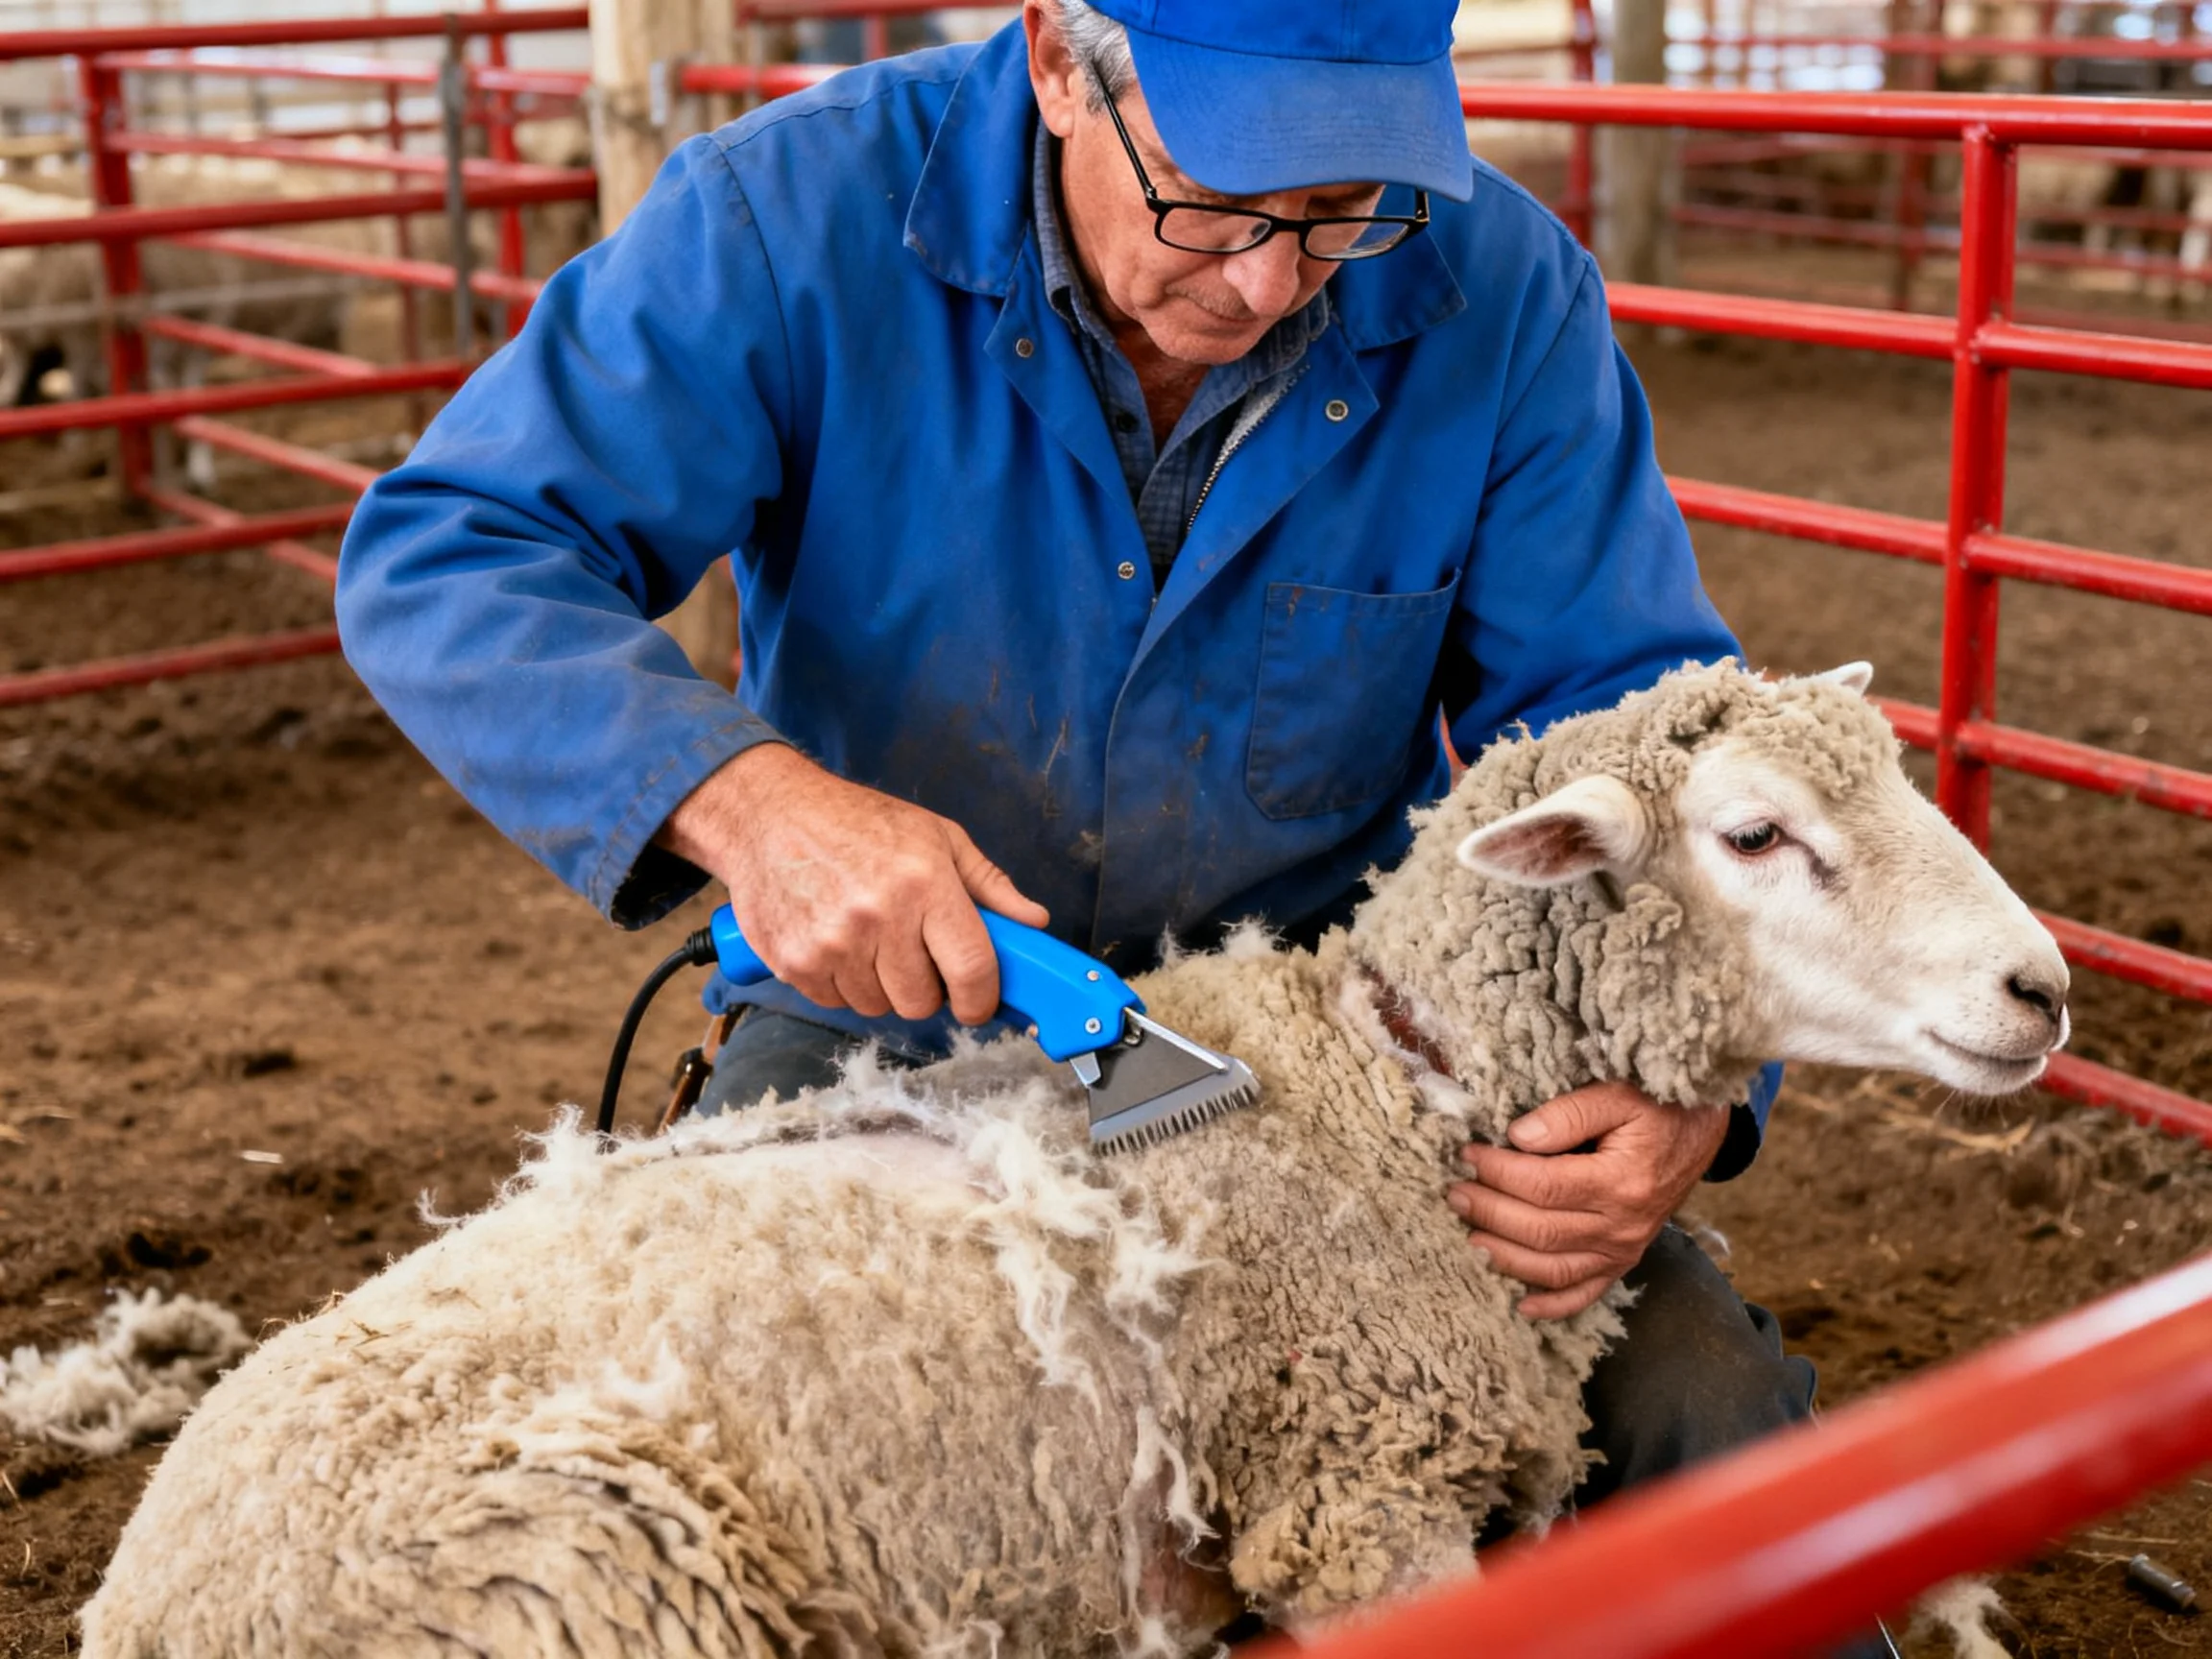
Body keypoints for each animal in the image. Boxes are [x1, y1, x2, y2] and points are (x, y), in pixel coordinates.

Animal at [81, 659, 2070, 1657]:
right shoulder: (1347, 1497)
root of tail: (138, 1591)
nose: (2040, 987)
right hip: (581, 1579)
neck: (1376, 1100)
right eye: (1751, 833)